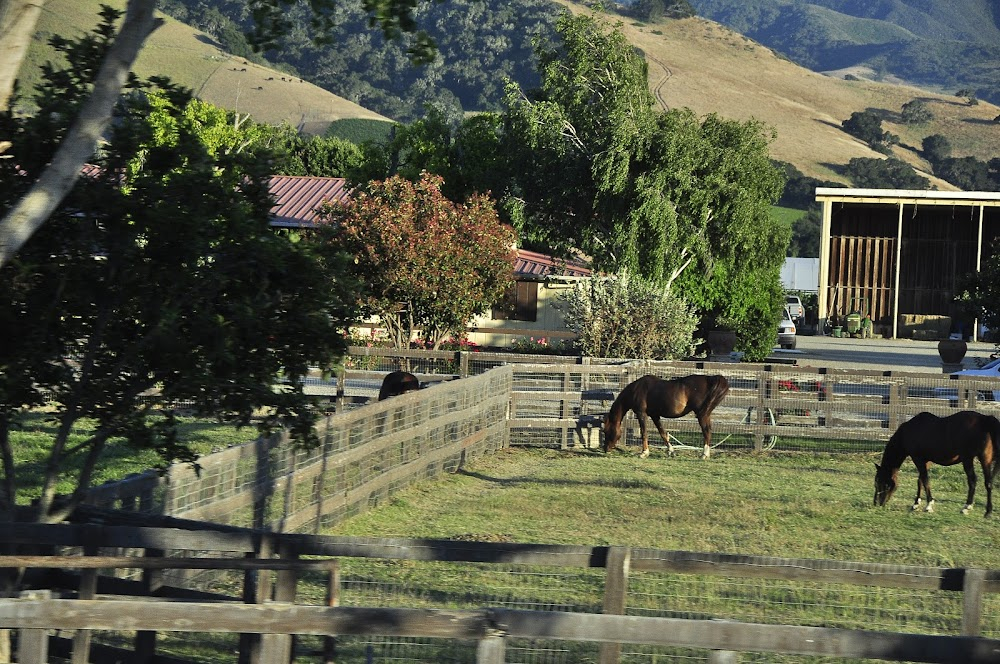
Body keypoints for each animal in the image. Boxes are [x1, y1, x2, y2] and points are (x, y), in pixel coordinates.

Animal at [604, 376, 732, 460]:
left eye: (606, 431)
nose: (606, 450)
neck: (636, 390)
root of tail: (711, 379)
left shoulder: (641, 414)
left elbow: (644, 433)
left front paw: (644, 453)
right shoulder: (655, 415)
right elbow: (663, 433)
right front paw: (671, 451)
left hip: (702, 415)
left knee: (706, 432)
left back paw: (704, 454)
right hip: (705, 414)